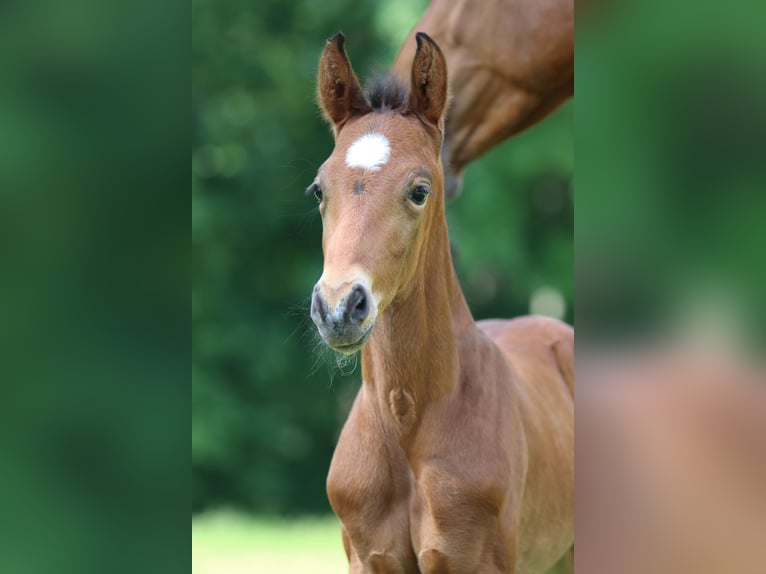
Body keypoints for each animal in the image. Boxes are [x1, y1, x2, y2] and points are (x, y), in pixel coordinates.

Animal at [308, 32, 572, 574]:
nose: (339, 308)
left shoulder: (472, 560)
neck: (405, 421)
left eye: (419, 191)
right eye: (319, 189)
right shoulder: (369, 558)